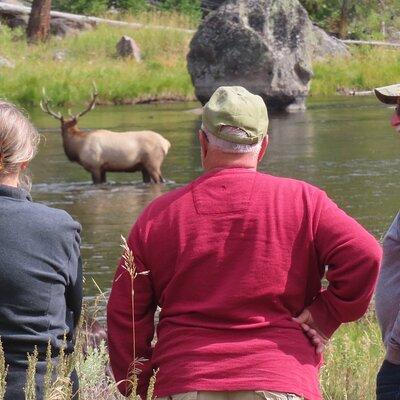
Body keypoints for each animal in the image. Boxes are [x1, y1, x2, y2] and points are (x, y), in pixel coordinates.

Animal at [40, 87, 170, 184]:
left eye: (61, 128)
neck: (78, 147)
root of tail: (166, 143)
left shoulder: (95, 166)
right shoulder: (103, 169)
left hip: (153, 162)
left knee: (160, 180)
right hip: (144, 167)